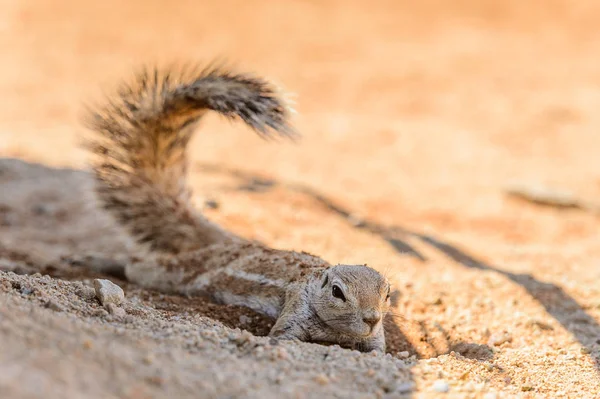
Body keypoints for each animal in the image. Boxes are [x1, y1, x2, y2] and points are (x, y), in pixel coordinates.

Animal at [84, 63, 392, 354]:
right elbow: (283, 336)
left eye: (387, 293)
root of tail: (237, 244)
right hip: (180, 271)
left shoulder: (376, 337)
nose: (372, 318)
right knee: (138, 265)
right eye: (338, 293)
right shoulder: (294, 312)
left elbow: (378, 350)